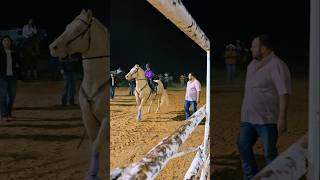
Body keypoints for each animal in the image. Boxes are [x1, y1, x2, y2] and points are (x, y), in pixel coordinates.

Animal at [48, 10, 109, 180]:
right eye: (67, 26)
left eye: (78, 30)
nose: (52, 47)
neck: (95, 81)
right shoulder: (87, 117)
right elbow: (94, 144)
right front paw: (93, 172)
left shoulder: (106, 119)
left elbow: (96, 145)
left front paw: (93, 174)